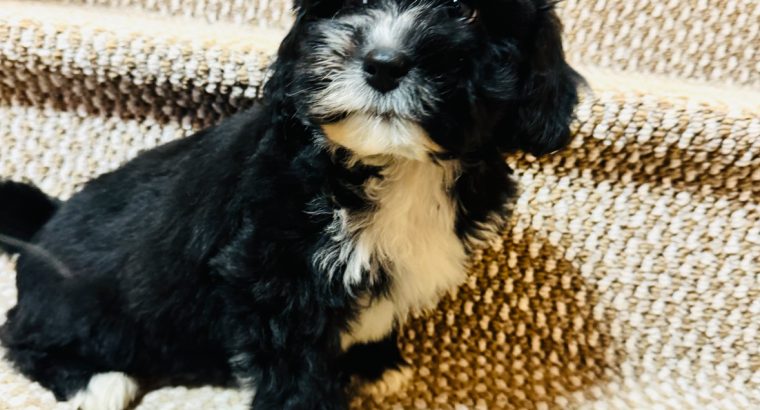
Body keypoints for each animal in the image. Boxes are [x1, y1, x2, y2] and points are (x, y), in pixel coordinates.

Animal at [1, 0, 580, 408]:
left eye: (465, 10)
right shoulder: (273, 282)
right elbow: (294, 369)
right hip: (81, 309)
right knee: (21, 336)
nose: (383, 63)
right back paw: (97, 382)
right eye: (353, 3)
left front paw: (378, 364)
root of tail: (45, 222)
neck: (398, 165)